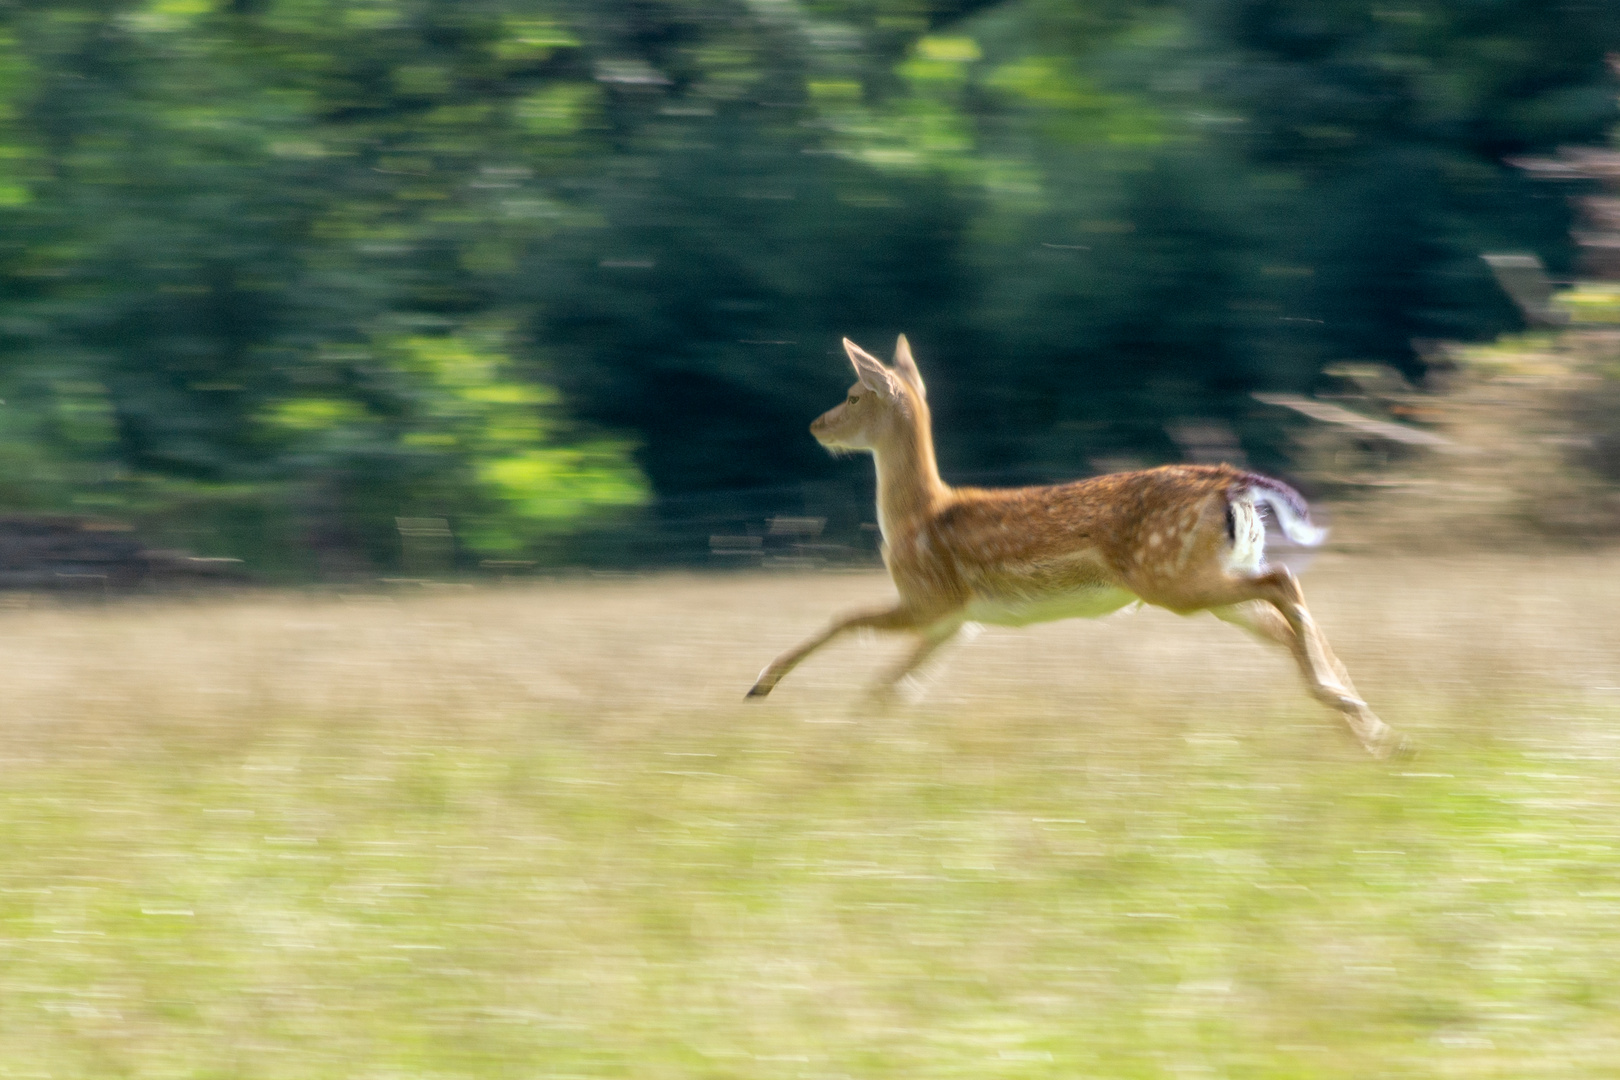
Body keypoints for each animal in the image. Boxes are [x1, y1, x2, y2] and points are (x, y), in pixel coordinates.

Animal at [745, 333, 1406, 757]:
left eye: (854, 394)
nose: (817, 426)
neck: (917, 517)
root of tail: (1229, 483)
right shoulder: (956, 620)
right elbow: (892, 687)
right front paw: (851, 735)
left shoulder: (930, 598)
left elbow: (843, 621)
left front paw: (762, 686)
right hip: (1207, 577)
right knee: (1286, 613)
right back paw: (1371, 727)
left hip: (1170, 578)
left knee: (1285, 584)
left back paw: (1348, 707)